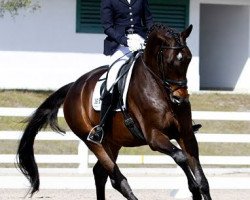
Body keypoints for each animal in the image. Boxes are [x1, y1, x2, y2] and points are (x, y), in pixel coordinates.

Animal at [16, 23, 211, 200]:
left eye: (189, 58)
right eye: (170, 61)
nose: (180, 99)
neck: (160, 90)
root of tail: (74, 86)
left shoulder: (186, 134)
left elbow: (202, 180)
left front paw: (197, 189)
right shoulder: (154, 137)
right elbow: (181, 157)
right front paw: (193, 189)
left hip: (113, 142)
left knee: (100, 173)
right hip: (93, 141)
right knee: (117, 179)